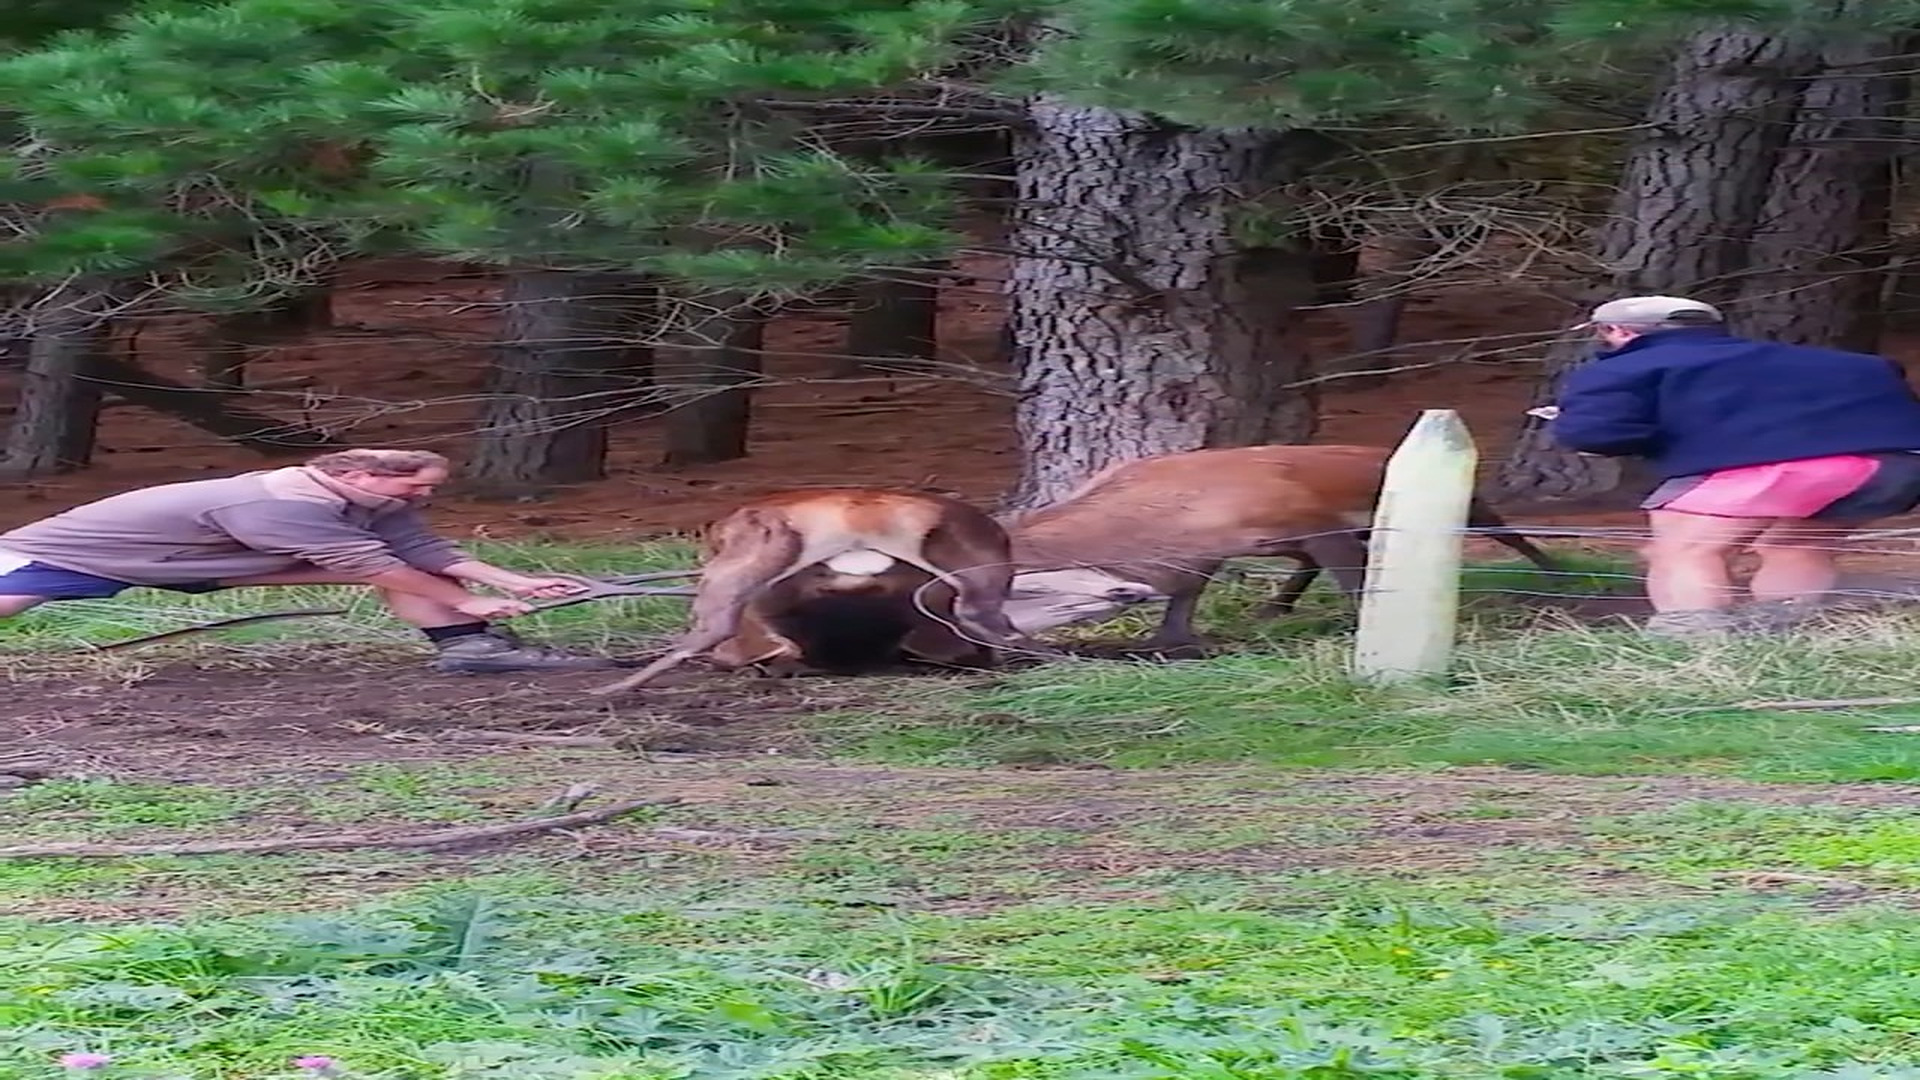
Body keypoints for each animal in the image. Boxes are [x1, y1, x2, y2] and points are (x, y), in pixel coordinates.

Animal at [1001, 443, 1562, 650]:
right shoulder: (1215, 552)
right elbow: (1180, 613)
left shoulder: (1316, 523)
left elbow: (1356, 586)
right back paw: (1273, 610)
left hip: (1473, 507)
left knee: (1511, 533)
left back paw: (1559, 580)